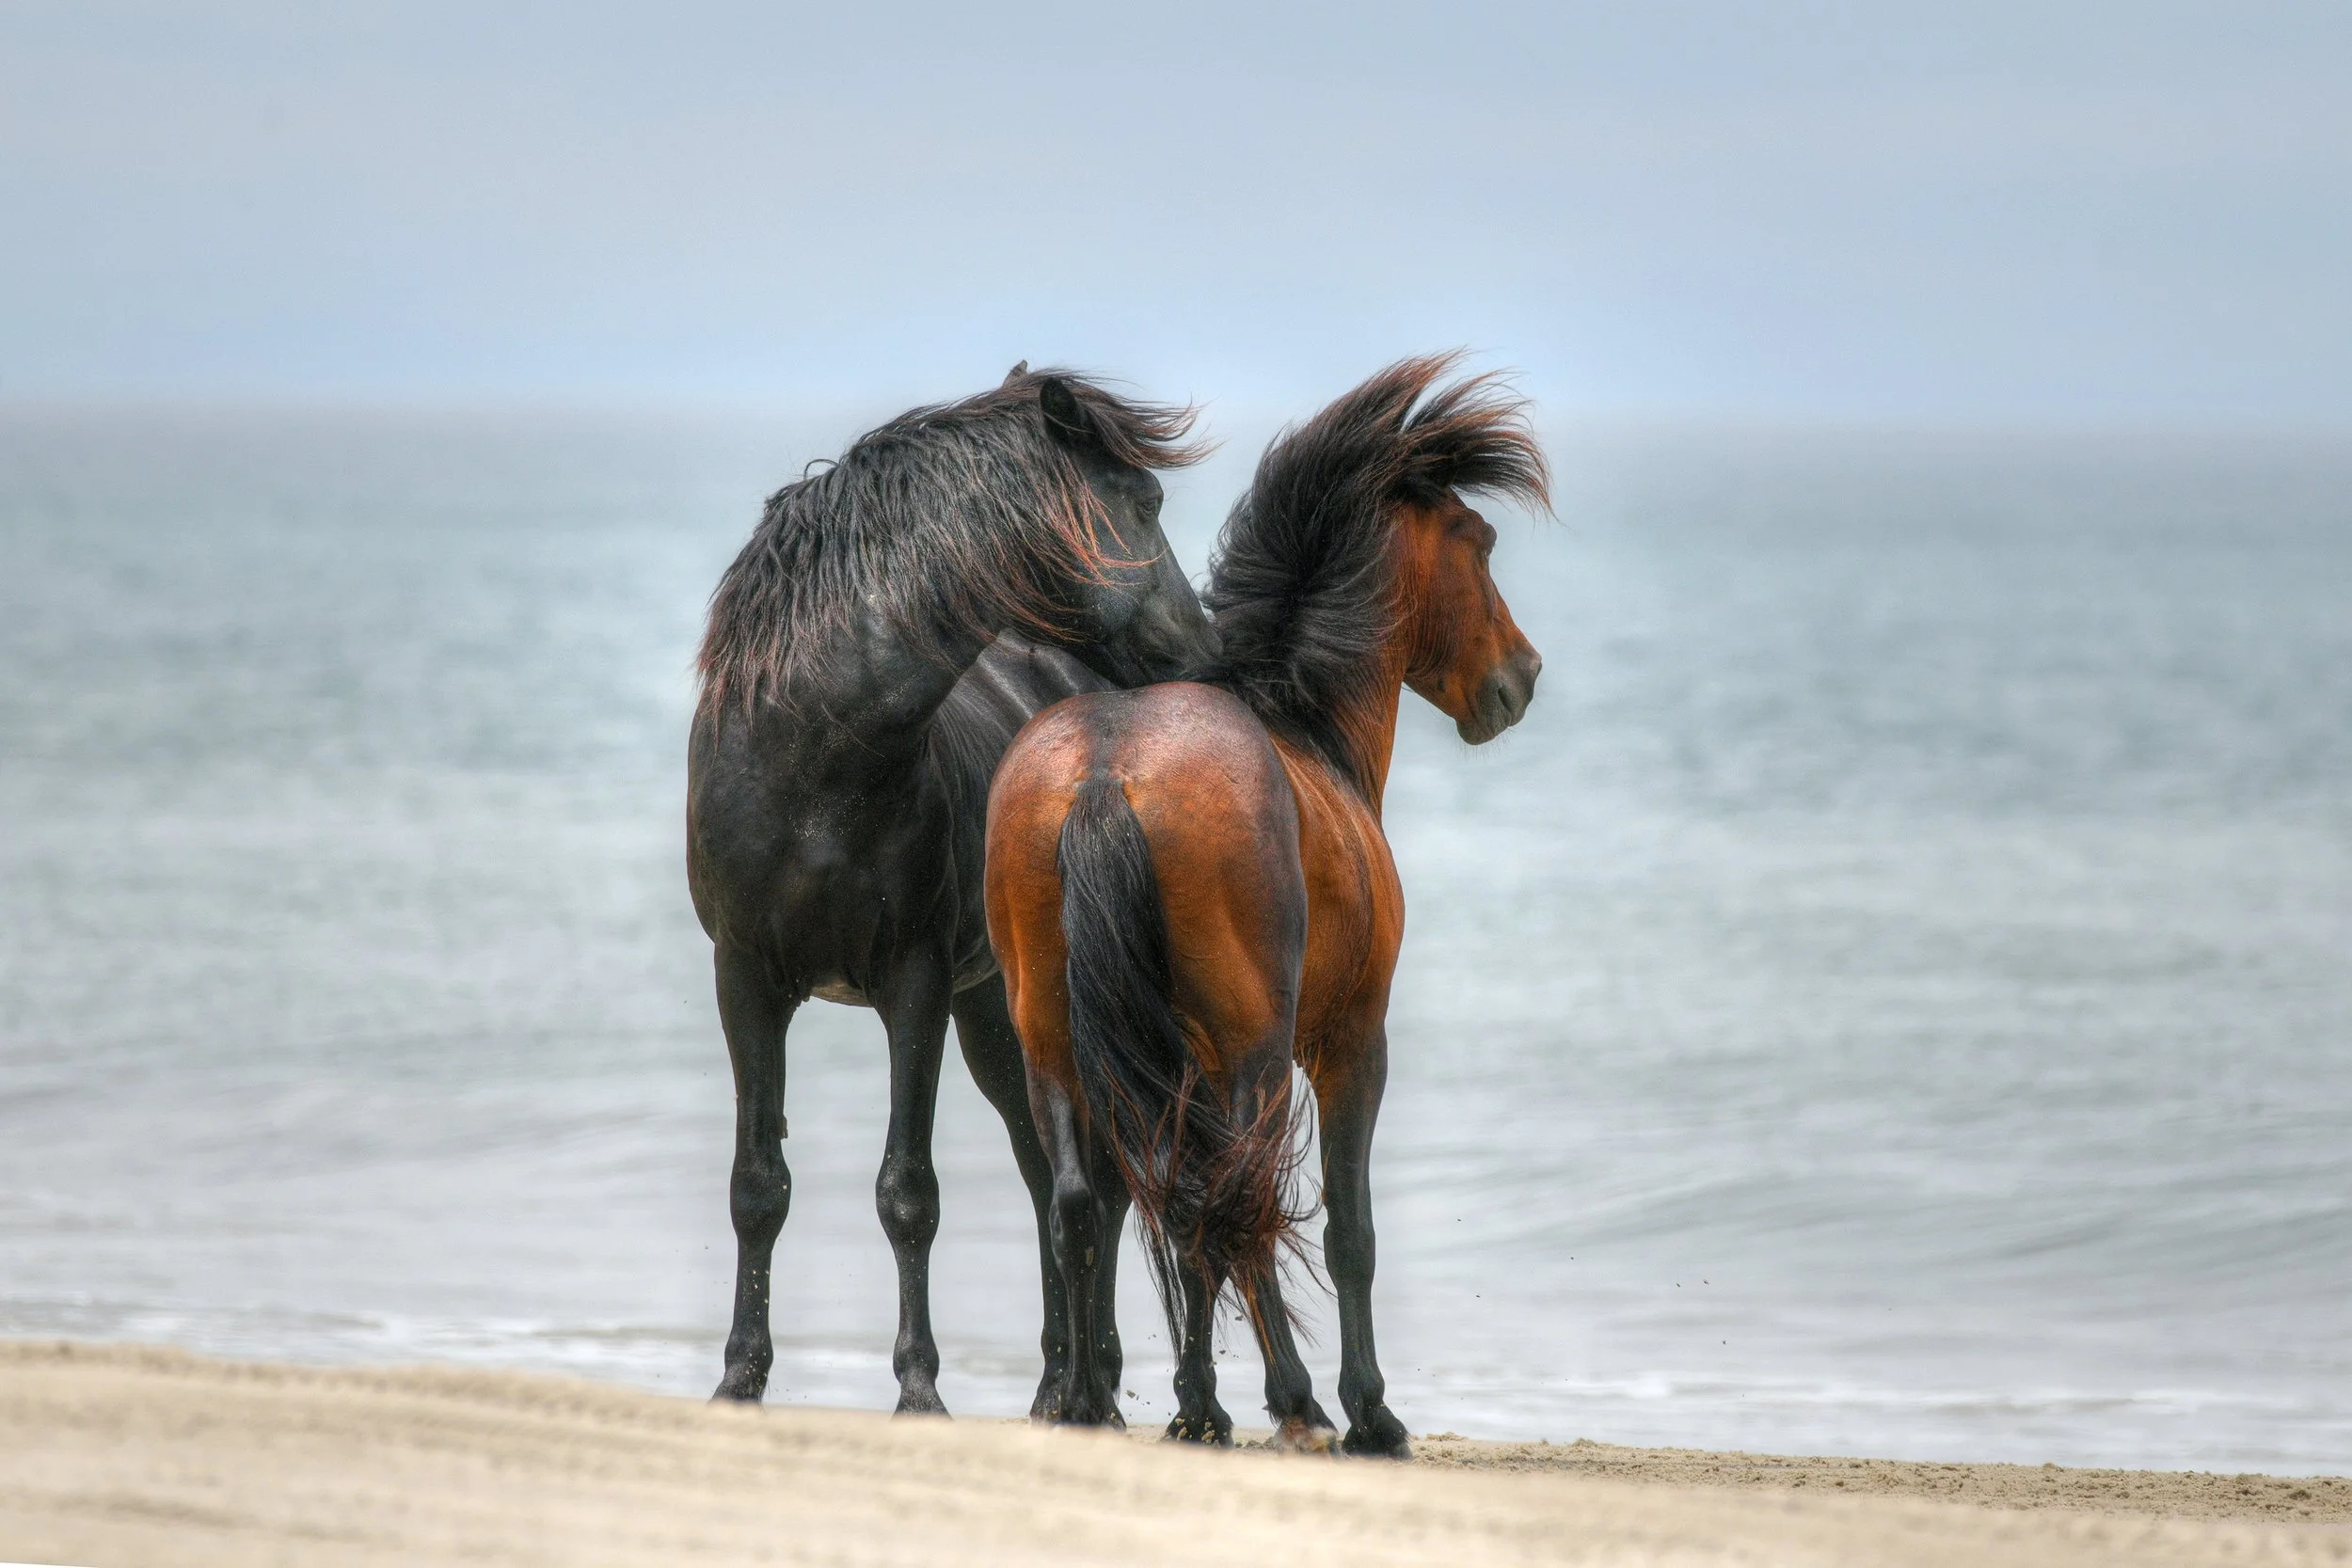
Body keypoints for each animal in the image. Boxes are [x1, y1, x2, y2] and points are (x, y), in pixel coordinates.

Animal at [689, 366, 1217, 1415]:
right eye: (1145, 502)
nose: (1205, 650)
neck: (812, 759)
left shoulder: (915, 984)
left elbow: (908, 1191)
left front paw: (920, 1389)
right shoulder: (745, 977)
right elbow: (757, 1184)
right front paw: (739, 1376)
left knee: (1084, 1177)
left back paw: (1086, 1386)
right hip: (995, 1020)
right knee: (1045, 1172)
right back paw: (1061, 1386)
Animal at [983, 354, 1547, 1455]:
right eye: (1481, 541)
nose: (1521, 677)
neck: (1303, 726)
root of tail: (1107, 768)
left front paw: (1196, 1404)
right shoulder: (1349, 1040)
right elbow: (1347, 1227)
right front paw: (1369, 1409)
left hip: (1056, 1046)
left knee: (1092, 1202)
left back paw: (1091, 1403)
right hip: (1254, 1054)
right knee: (1234, 1204)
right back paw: (1302, 1404)